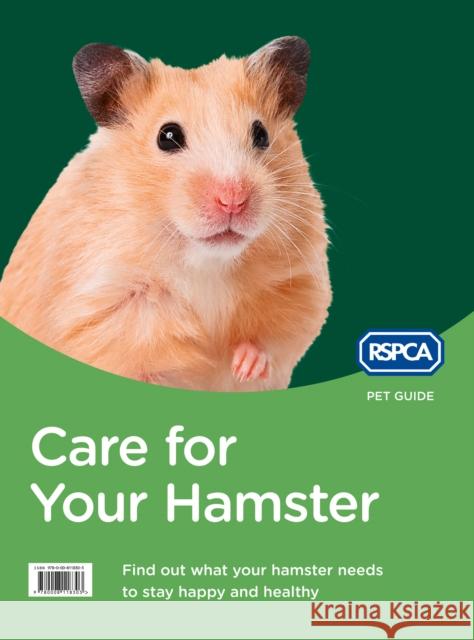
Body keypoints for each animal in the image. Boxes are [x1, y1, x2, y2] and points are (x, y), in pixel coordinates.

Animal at [0, 37, 331, 391]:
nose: (233, 200)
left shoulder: (300, 281)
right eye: (167, 136)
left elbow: (280, 333)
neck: (206, 262)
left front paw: (245, 366)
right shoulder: (103, 307)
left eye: (261, 134)